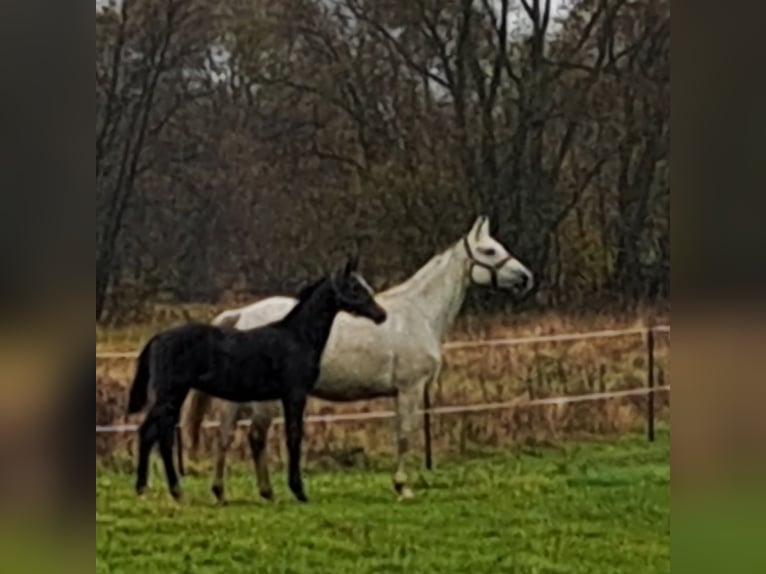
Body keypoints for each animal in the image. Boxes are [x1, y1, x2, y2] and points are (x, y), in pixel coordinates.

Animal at [126, 258, 387, 502]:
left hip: (172, 396)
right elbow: (294, 436)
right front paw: (298, 491)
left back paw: (146, 489)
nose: (381, 315)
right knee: (159, 435)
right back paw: (173, 491)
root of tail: (158, 338)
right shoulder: (294, 395)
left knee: (152, 433)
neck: (296, 338)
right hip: (171, 394)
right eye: (354, 286)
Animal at [185, 216, 533, 503]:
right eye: (489, 251)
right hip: (263, 400)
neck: (418, 313)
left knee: (225, 436)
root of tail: (241, 314)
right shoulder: (409, 389)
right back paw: (266, 492)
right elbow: (404, 436)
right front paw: (402, 487)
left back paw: (221, 491)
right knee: (253, 437)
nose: (526, 278)